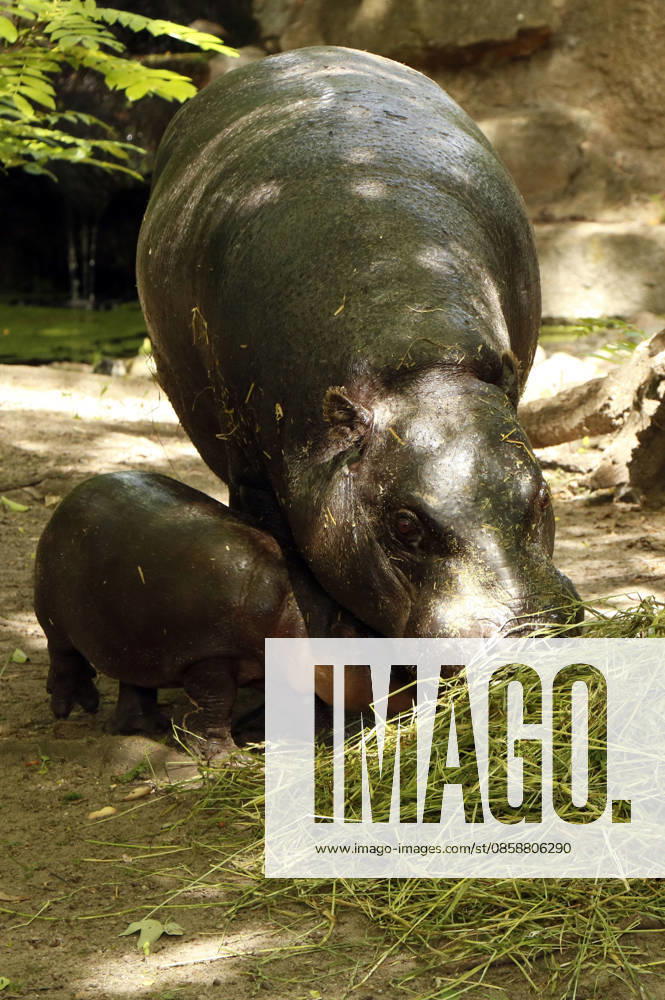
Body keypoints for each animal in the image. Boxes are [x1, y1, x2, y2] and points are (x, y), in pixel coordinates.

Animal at [33, 471, 308, 759]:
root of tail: (70, 496)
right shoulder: (208, 655)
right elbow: (218, 703)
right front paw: (227, 758)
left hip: (131, 634)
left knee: (134, 682)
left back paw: (143, 727)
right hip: (53, 613)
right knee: (64, 654)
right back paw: (73, 707)